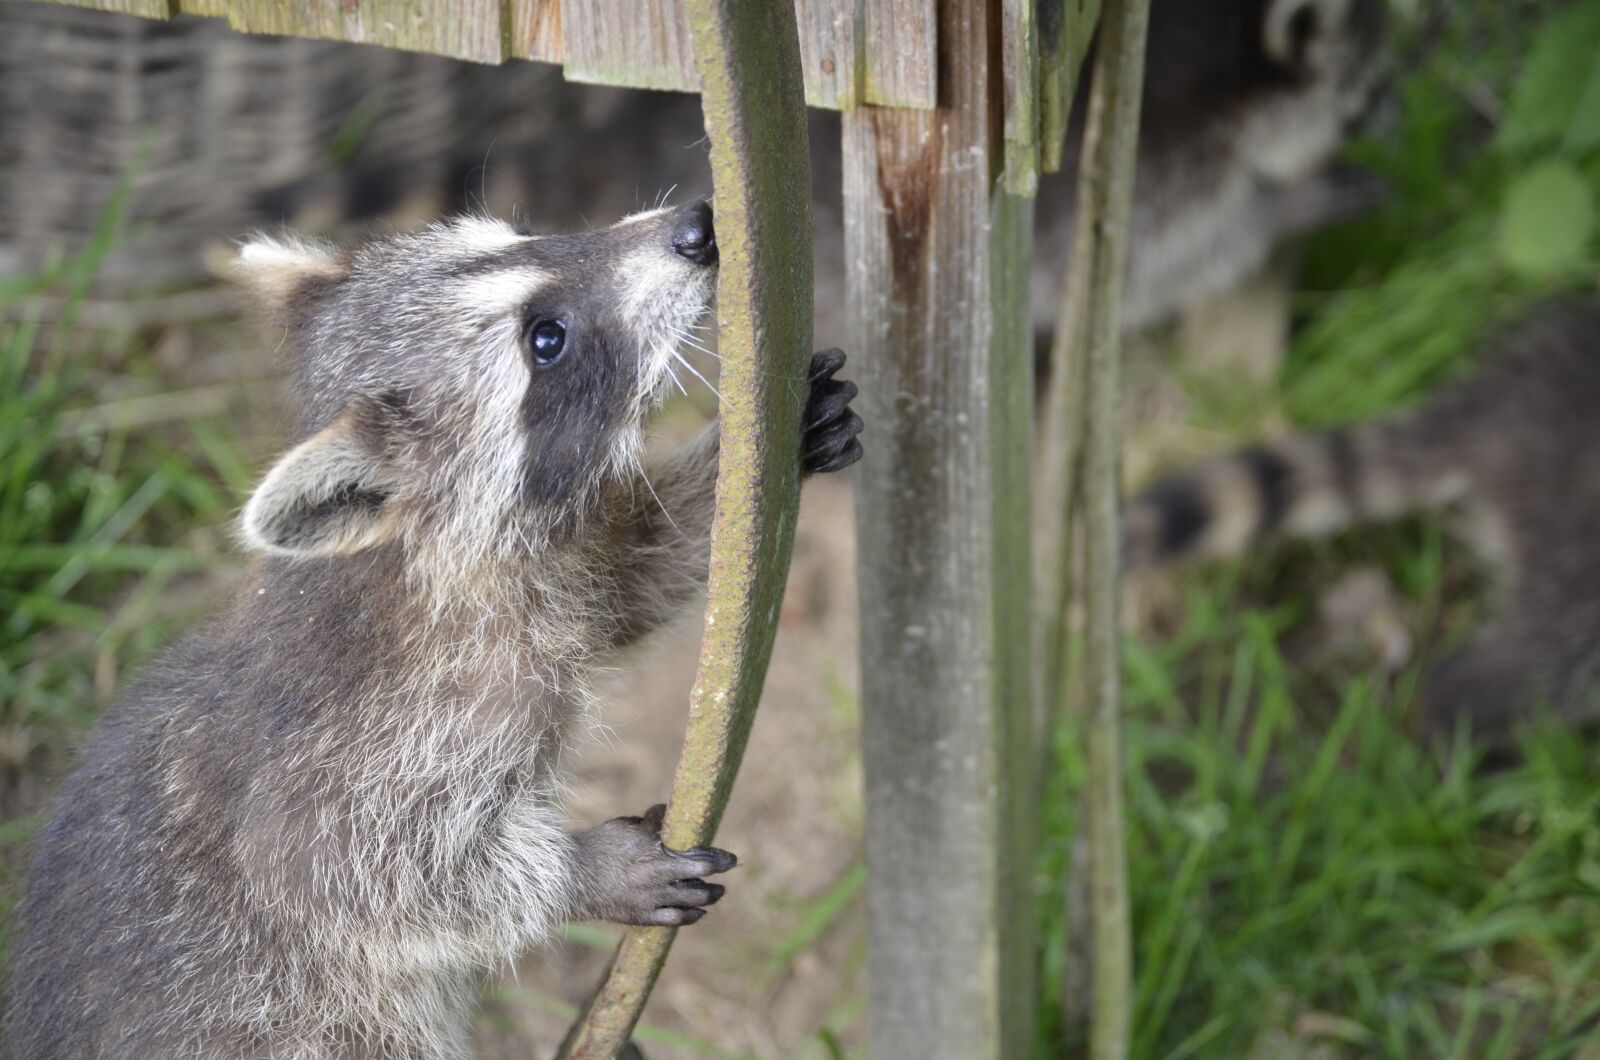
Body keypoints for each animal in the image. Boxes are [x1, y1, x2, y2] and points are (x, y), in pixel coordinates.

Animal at [4, 201, 864, 1059]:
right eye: (545, 339)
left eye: (518, 233)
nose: (696, 226)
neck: (410, 555)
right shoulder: (381, 727)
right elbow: (342, 869)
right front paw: (579, 871)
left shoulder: (549, 584)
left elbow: (632, 570)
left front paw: (743, 464)